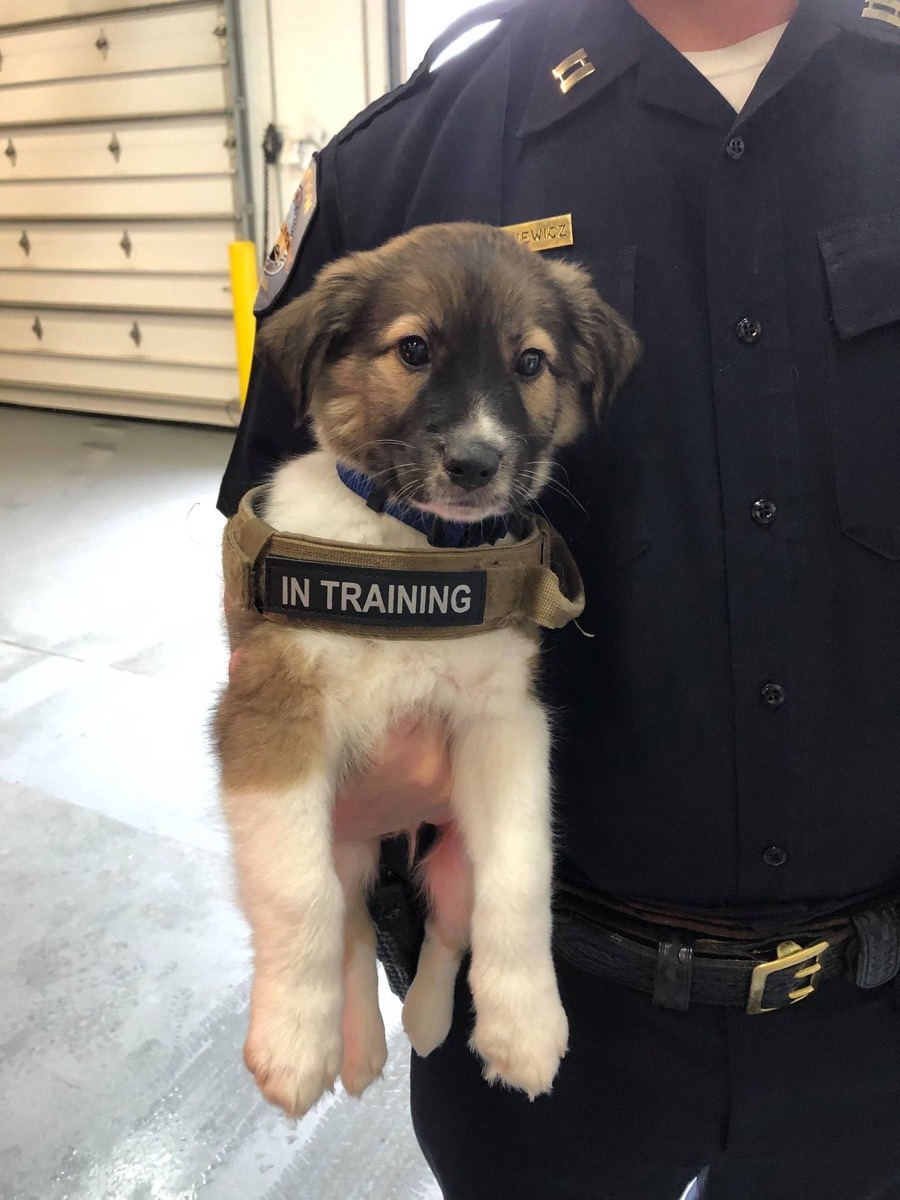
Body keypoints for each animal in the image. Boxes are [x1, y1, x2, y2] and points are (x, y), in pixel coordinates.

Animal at [213, 223, 638, 1113]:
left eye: (530, 361)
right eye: (413, 349)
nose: (475, 464)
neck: (410, 551)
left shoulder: (505, 724)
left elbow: (519, 877)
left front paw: (526, 1022)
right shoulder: (268, 716)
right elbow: (295, 896)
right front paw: (292, 1039)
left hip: (449, 856)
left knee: (446, 926)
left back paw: (430, 1020)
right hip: (344, 841)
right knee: (347, 927)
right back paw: (358, 1045)